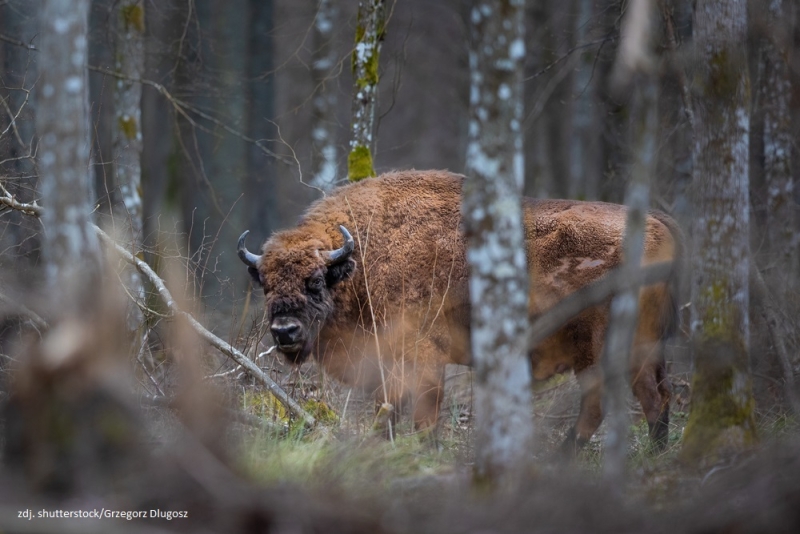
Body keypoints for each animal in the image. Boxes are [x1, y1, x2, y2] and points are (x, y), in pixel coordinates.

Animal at [239, 171, 680, 452]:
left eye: (315, 282)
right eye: (266, 284)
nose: (284, 331)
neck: (361, 259)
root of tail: (658, 223)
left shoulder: (420, 358)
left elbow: (421, 413)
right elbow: (389, 411)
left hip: (601, 349)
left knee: (613, 403)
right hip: (641, 349)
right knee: (651, 398)